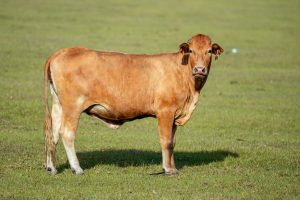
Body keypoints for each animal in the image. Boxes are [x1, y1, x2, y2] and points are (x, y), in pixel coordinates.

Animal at [44, 34, 223, 175]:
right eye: (191, 50)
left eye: (209, 51)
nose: (199, 69)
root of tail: (62, 52)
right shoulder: (165, 111)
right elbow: (165, 141)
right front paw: (167, 169)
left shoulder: (174, 115)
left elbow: (172, 143)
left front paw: (173, 167)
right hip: (72, 107)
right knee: (66, 133)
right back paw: (77, 168)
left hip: (58, 106)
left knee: (52, 134)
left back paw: (51, 168)